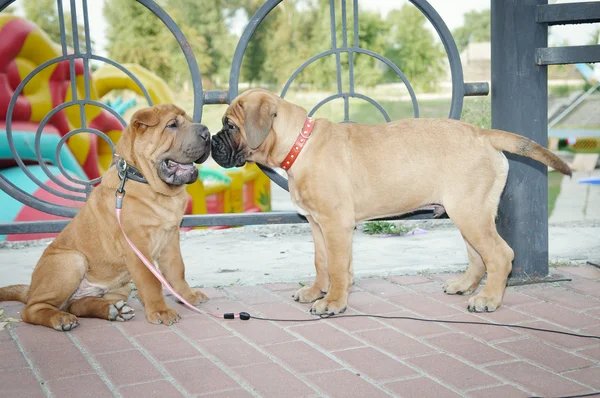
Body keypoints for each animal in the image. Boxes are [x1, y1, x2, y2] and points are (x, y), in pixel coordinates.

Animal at [0, 104, 211, 332]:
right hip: (72, 261)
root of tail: (31, 288)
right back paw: (61, 319)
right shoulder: (137, 247)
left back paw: (114, 310)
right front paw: (161, 311)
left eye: (189, 120)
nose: (207, 132)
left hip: (119, 286)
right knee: (32, 309)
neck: (150, 186)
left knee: (77, 304)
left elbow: (177, 270)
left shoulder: (170, 239)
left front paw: (187, 296)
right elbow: (151, 281)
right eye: (172, 125)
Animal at [211, 88, 572, 316]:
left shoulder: (336, 225)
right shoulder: (317, 224)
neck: (300, 144)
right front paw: (317, 291)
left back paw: (489, 299)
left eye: (230, 126)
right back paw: (464, 287)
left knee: (499, 254)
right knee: (478, 256)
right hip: (469, 212)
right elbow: (322, 262)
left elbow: (337, 266)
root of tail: (482, 133)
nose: (211, 142)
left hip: (470, 213)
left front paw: (333, 303)